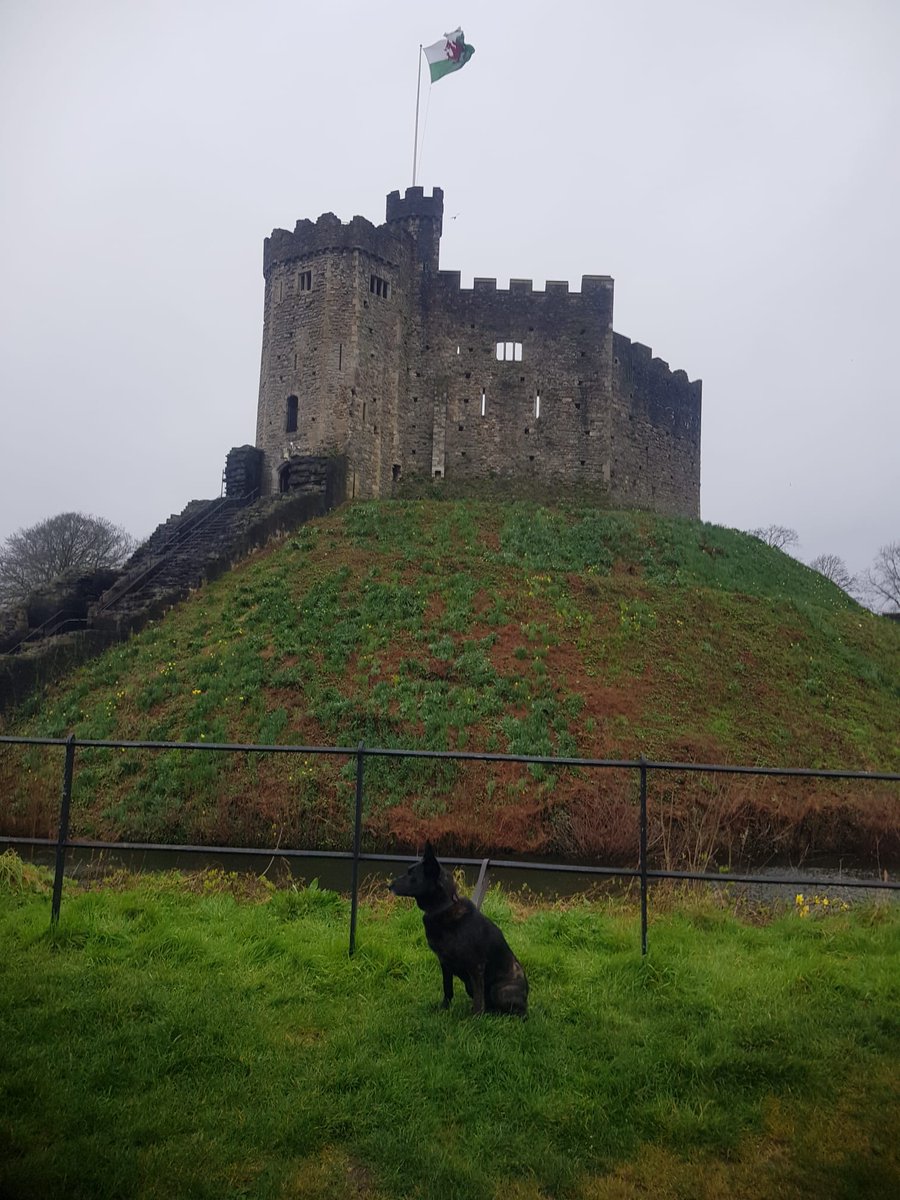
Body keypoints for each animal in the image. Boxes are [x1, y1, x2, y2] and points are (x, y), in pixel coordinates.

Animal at [388, 840, 528, 1017]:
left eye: (411, 875)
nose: (389, 885)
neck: (443, 907)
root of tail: (526, 999)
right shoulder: (444, 963)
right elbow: (448, 989)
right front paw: (443, 1008)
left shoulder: (476, 966)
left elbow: (478, 999)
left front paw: (475, 1017)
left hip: (500, 990)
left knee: (515, 1012)